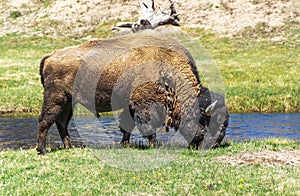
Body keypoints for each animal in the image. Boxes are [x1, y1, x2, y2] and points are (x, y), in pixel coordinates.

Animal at [36, 31, 229, 155]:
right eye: (209, 120)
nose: (216, 143)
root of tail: (51, 55)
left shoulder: (131, 105)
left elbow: (126, 125)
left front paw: (125, 145)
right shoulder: (143, 105)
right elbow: (147, 127)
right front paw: (154, 145)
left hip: (67, 101)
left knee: (61, 122)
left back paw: (69, 147)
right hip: (56, 98)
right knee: (45, 120)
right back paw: (43, 150)